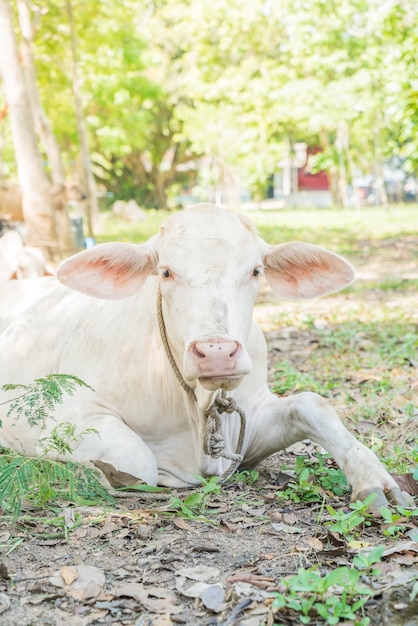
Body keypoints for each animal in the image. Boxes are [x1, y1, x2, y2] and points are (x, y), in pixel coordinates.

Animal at [0, 205, 406, 512]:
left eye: (255, 270)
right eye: (166, 271)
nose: (217, 352)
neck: (196, 408)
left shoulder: (250, 425)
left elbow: (312, 405)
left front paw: (374, 479)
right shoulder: (67, 417)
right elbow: (138, 461)